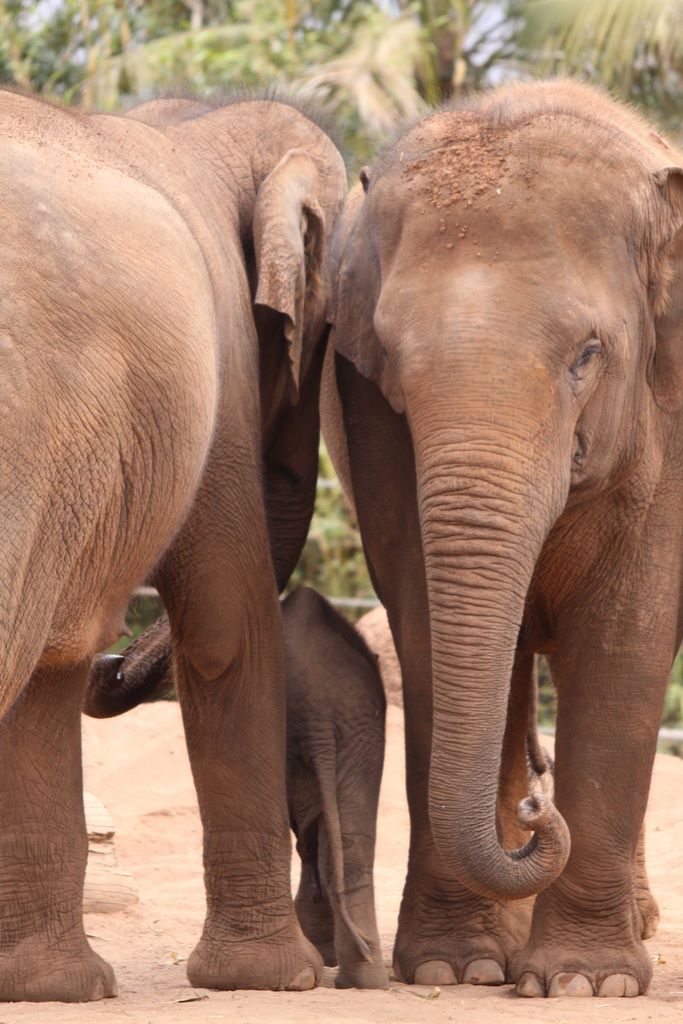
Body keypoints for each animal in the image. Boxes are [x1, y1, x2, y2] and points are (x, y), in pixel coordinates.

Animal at [0, 88, 346, 1001]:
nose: (118, 659)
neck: (186, 124)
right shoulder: (219, 366)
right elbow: (230, 630)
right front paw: (279, 979)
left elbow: (53, 663)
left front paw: (53, 989)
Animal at [320, 79, 683, 999]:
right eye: (393, 363)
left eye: (587, 353)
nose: (533, 813)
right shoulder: (365, 412)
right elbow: (421, 622)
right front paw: (454, 967)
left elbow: (627, 633)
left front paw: (588, 983)